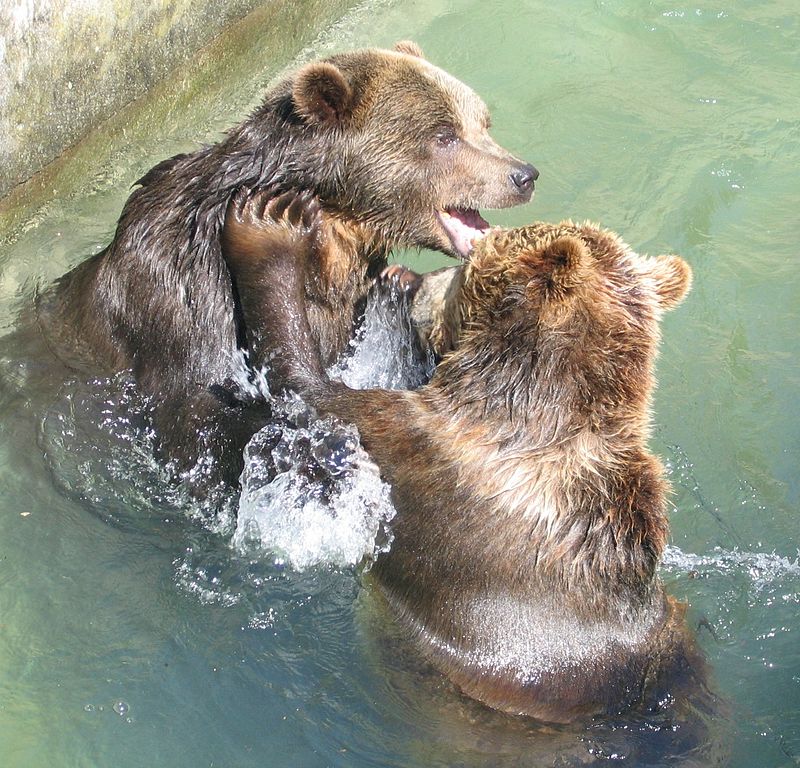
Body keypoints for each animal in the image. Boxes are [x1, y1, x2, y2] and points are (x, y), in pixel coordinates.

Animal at [37, 40, 536, 492]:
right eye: (444, 135)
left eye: (482, 122)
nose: (523, 175)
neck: (333, 231)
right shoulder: (188, 298)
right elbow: (199, 418)